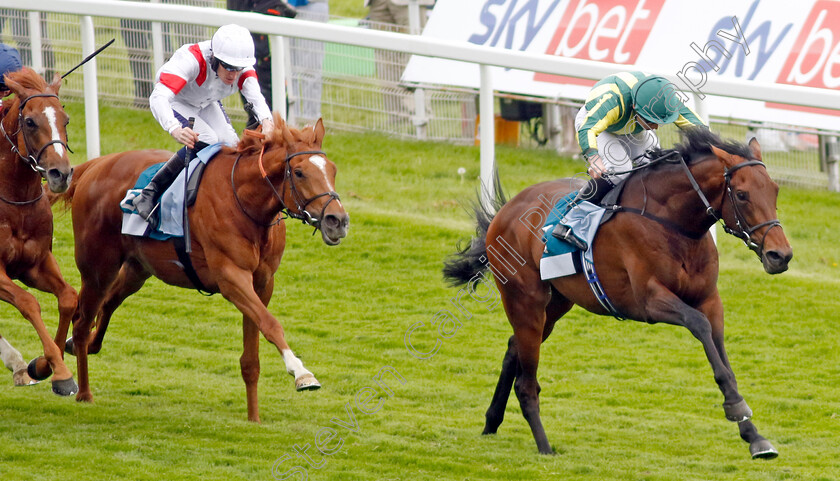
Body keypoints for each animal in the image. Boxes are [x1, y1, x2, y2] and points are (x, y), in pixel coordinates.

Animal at [51, 116, 348, 420]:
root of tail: (95, 166)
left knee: (106, 306)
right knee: (82, 321)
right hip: (98, 267)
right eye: (299, 173)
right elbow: (271, 324)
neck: (245, 202)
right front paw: (301, 373)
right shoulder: (231, 278)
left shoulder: (262, 283)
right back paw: (83, 391)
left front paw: (254, 418)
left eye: (333, 169)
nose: (338, 220)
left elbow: (251, 357)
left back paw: (75, 349)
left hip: (137, 269)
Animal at [446, 129, 796, 460]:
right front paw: (736, 408)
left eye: (775, 191)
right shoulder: (649, 301)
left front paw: (754, 435)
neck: (673, 223)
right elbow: (699, 326)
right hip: (525, 301)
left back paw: (492, 422)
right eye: (742, 194)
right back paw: (544, 446)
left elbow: (721, 355)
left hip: (555, 305)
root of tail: (505, 212)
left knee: (512, 348)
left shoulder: (710, 300)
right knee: (526, 382)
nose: (780, 255)